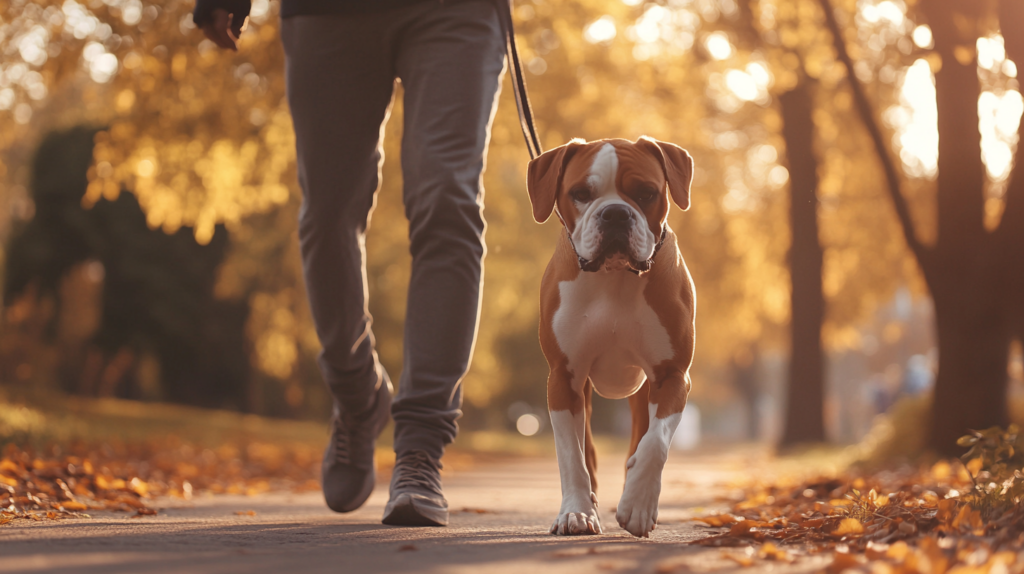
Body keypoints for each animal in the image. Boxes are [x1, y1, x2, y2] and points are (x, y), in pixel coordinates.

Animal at [528, 135, 696, 536]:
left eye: (646, 193)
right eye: (580, 193)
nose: (616, 213)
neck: (614, 277)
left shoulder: (671, 375)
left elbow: (656, 442)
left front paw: (637, 505)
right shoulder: (563, 378)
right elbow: (570, 454)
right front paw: (576, 512)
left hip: (642, 390)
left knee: (641, 437)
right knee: (586, 449)